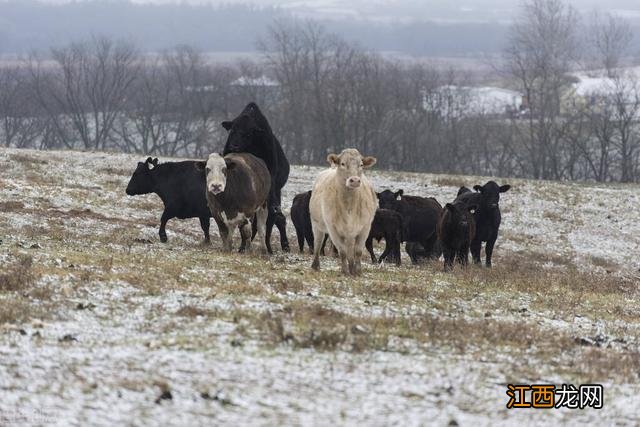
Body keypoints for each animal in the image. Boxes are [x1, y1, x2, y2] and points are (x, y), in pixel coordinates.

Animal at [221, 101, 288, 252]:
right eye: (232, 130)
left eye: (247, 134)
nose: (234, 145)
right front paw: (242, 246)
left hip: (275, 193)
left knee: (274, 220)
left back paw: (278, 246)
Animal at [308, 150, 376, 278]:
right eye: (343, 163)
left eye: (361, 164)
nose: (354, 180)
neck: (349, 204)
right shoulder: (333, 229)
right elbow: (342, 252)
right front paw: (345, 271)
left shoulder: (365, 227)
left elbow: (358, 251)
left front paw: (357, 272)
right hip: (316, 225)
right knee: (318, 243)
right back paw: (315, 265)